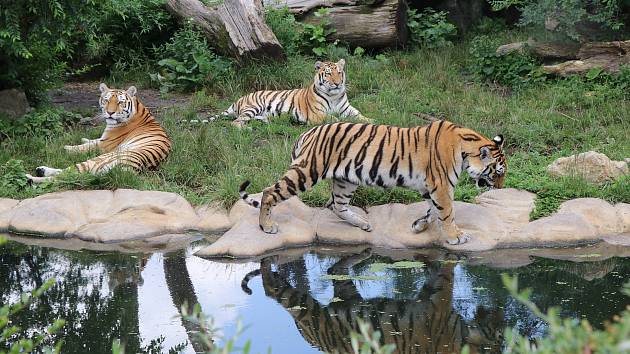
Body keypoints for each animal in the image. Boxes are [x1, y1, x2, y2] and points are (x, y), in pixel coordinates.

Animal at [26, 83, 172, 183]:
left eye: (120, 102)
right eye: (106, 100)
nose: (110, 113)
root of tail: (130, 168)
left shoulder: (105, 145)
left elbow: (84, 147)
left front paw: (66, 148)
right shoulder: (103, 139)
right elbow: (91, 140)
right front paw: (84, 139)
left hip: (99, 159)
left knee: (67, 175)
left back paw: (31, 178)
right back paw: (40, 170)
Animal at [206, 59, 370, 127]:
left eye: (339, 72)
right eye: (329, 73)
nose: (337, 83)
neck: (333, 95)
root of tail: (239, 99)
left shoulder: (347, 109)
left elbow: (361, 116)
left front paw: (371, 121)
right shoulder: (317, 114)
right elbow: (334, 119)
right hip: (253, 107)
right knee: (235, 122)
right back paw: (247, 128)